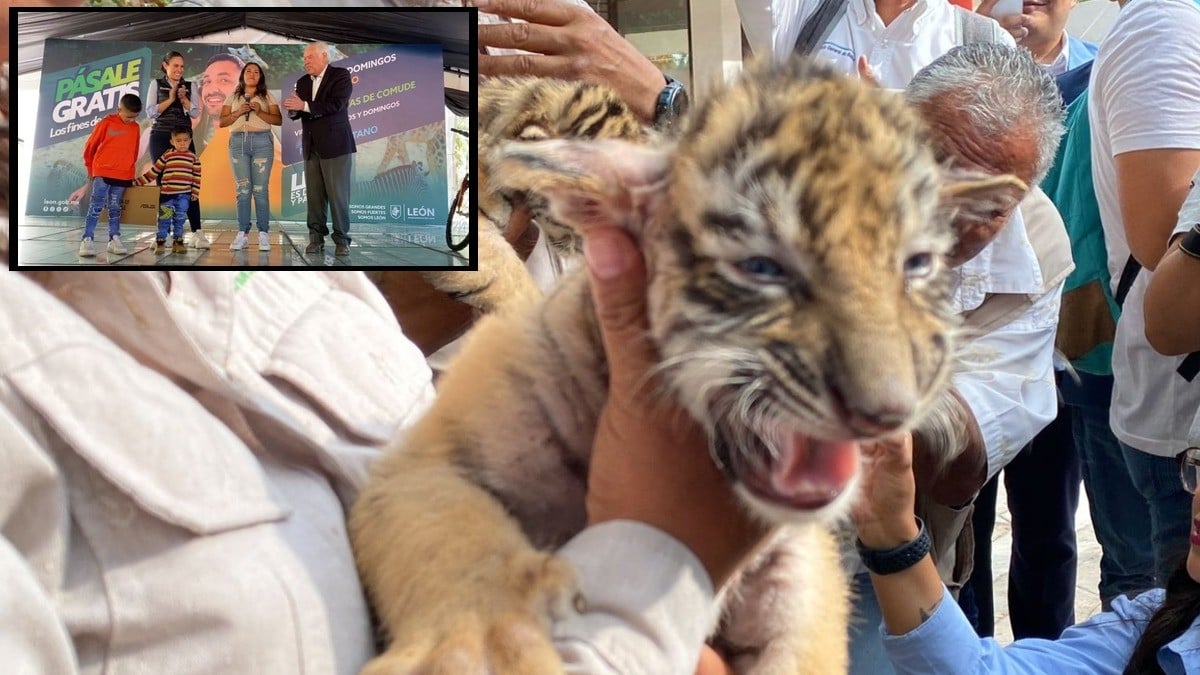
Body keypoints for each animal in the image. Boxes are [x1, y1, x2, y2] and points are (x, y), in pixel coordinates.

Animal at [351, 58, 1024, 675]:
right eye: (760, 266)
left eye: (917, 266)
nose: (888, 411)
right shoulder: (424, 462)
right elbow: (457, 540)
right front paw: (485, 644)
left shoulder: (798, 563)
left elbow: (803, 643)